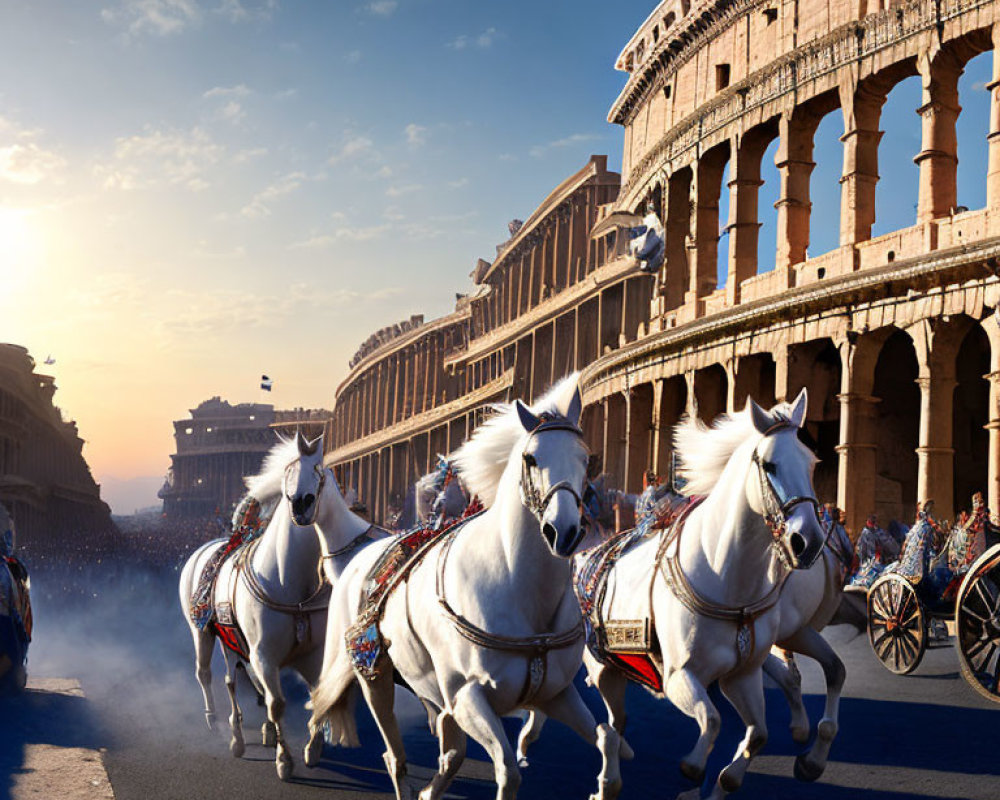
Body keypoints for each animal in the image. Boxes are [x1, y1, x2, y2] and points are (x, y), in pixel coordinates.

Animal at [180, 434, 382, 780]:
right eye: (289, 471)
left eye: (322, 471)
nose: (301, 504)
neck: (290, 584)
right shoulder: (264, 654)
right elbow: (276, 703)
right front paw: (284, 759)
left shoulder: (310, 654)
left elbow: (312, 695)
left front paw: (312, 748)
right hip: (202, 632)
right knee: (208, 675)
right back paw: (221, 725)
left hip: (232, 641)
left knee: (235, 681)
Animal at [312, 376, 620, 800]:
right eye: (531, 459)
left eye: (586, 459)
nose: (564, 532)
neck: (519, 589)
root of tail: (358, 557)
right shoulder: (466, 696)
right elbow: (506, 769)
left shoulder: (555, 693)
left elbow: (607, 736)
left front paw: (604, 786)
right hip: (370, 669)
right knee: (390, 751)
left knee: (447, 744)